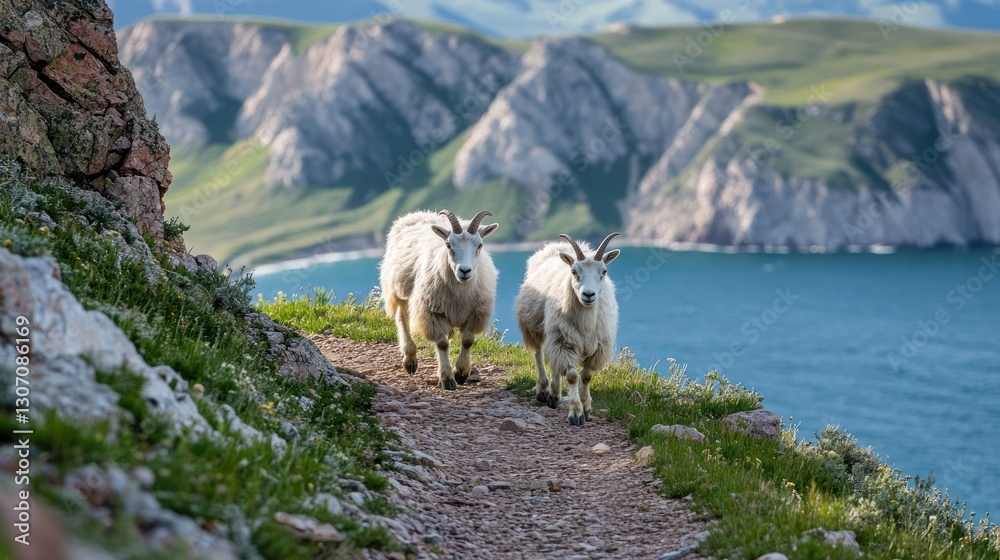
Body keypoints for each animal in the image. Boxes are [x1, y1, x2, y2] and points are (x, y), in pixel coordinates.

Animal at [379, 209, 499, 390]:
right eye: (448, 245)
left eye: (480, 245)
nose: (464, 271)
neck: (460, 290)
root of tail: (418, 213)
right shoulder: (432, 313)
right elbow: (442, 344)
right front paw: (447, 378)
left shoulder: (475, 314)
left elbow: (467, 341)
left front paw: (461, 372)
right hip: (398, 289)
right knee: (401, 319)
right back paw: (410, 358)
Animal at [515, 233, 620, 425]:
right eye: (574, 271)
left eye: (604, 271)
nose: (588, 294)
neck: (586, 322)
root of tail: (557, 246)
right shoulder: (564, 343)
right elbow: (572, 376)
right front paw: (576, 413)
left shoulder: (598, 347)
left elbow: (586, 376)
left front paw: (586, 408)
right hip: (536, 326)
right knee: (539, 354)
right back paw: (544, 390)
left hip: (554, 333)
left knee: (554, 362)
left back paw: (554, 394)